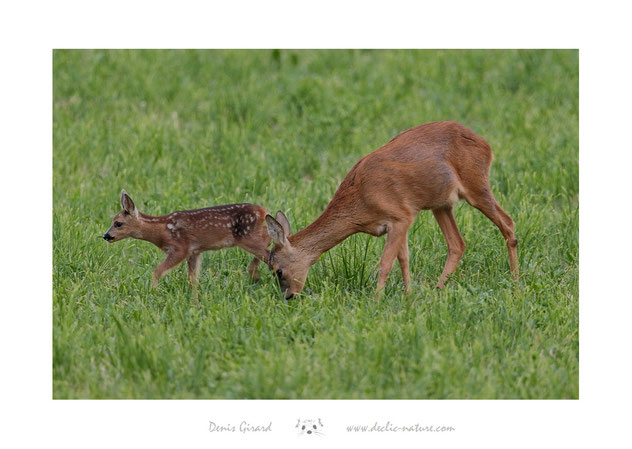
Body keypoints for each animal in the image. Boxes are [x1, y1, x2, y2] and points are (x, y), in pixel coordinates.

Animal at [102, 189, 270, 298]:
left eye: (118, 223)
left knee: (269, 251)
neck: (162, 230)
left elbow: (157, 270)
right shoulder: (194, 251)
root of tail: (263, 210)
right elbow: (192, 278)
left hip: (247, 237)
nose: (106, 236)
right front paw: (195, 300)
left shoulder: (180, 248)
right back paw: (255, 274)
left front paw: (153, 292)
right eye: (112, 221)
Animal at [266, 121, 520, 300]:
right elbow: (404, 259)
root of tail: (486, 145)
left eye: (277, 271)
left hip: (476, 186)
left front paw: (376, 301)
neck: (359, 203)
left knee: (508, 222)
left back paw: (515, 281)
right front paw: (409, 296)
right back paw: (438, 289)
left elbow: (385, 263)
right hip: (441, 204)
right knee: (457, 243)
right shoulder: (398, 222)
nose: (289, 296)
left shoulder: (401, 216)